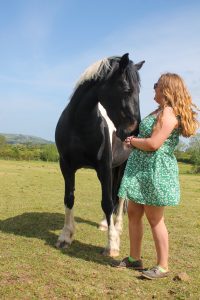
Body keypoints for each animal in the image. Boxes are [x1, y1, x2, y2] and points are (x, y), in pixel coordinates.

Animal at [55, 52, 145, 256]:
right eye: (126, 88)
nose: (135, 131)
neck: (79, 124)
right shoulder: (66, 166)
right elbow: (69, 198)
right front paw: (65, 236)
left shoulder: (103, 168)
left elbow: (107, 202)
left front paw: (112, 245)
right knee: (114, 194)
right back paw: (105, 223)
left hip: (122, 167)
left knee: (120, 197)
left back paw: (117, 227)